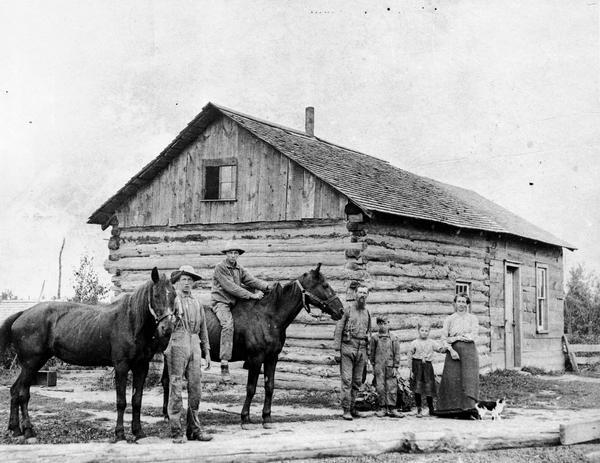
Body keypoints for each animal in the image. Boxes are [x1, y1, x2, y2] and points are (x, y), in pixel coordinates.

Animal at [0, 268, 175, 442]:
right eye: (156, 295)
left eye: (173, 295)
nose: (167, 328)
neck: (131, 322)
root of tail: (22, 314)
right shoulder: (121, 367)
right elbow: (121, 401)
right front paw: (120, 433)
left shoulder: (141, 367)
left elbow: (137, 400)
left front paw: (138, 432)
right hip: (31, 364)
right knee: (22, 394)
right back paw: (28, 430)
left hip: (33, 364)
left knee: (15, 391)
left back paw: (15, 429)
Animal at [162, 266, 344, 430]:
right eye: (325, 285)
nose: (341, 310)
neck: (268, 318)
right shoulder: (256, 359)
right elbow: (251, 388)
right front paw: (245, 418)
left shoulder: (272, 358)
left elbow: (269, 386)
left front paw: (267, 418)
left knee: (166, 381)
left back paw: (166, 414)